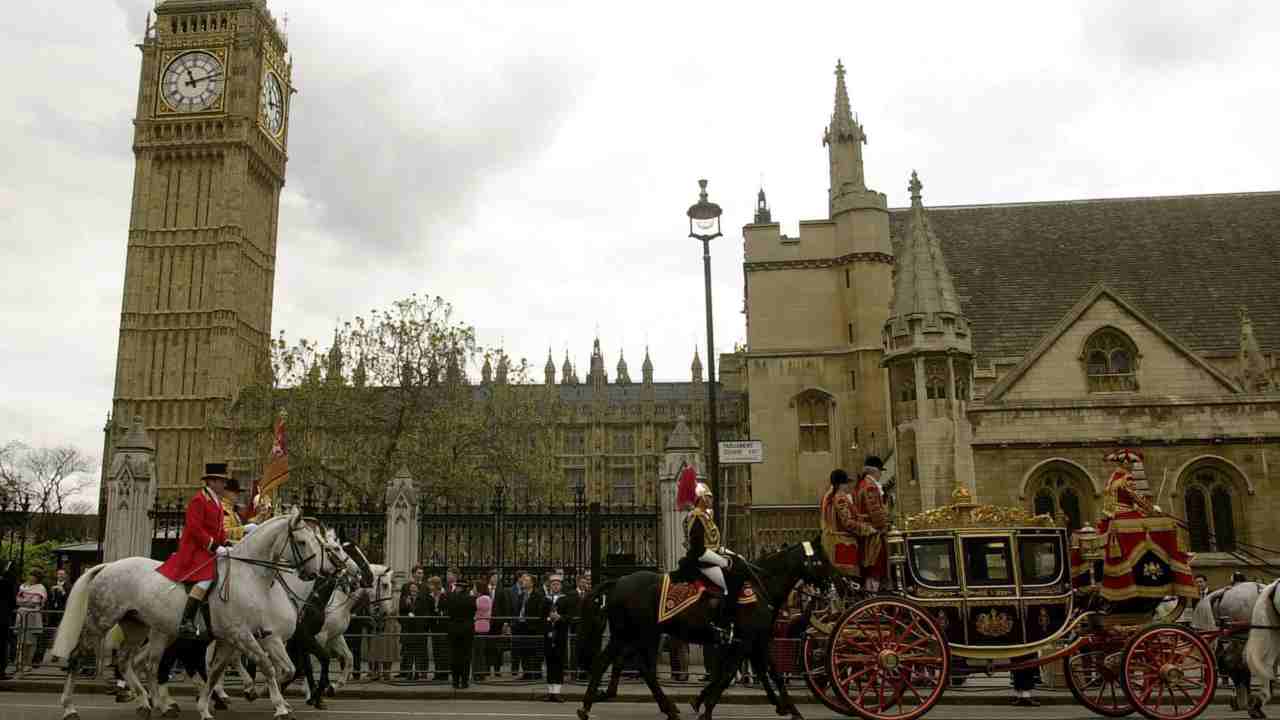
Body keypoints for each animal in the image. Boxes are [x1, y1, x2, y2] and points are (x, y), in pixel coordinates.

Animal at [49, 504, 330, 717]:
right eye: (302, 542)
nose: (314, 574)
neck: (251, 577)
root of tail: (108, 565)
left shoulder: (251, 636)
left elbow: (223, 672)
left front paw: (208, 706)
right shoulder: (240, 634)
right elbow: (266, 666)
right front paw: (278, 706)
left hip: (138, 626)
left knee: (133, 661)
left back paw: (149, 703)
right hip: (100, 620)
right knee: (80, 657)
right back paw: (69, 707)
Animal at [578, 532, 834, 717]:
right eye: (822, 560)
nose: (835, 586)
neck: (761, 586)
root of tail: (619, 581)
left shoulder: (753, 640)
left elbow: (764, 671)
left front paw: (788, 707)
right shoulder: (748, 640)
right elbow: (732, 672)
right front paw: (707, 706)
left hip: (632, 634)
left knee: (622, 662)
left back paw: (599, 701)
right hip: (639, 633)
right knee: (632, 665)